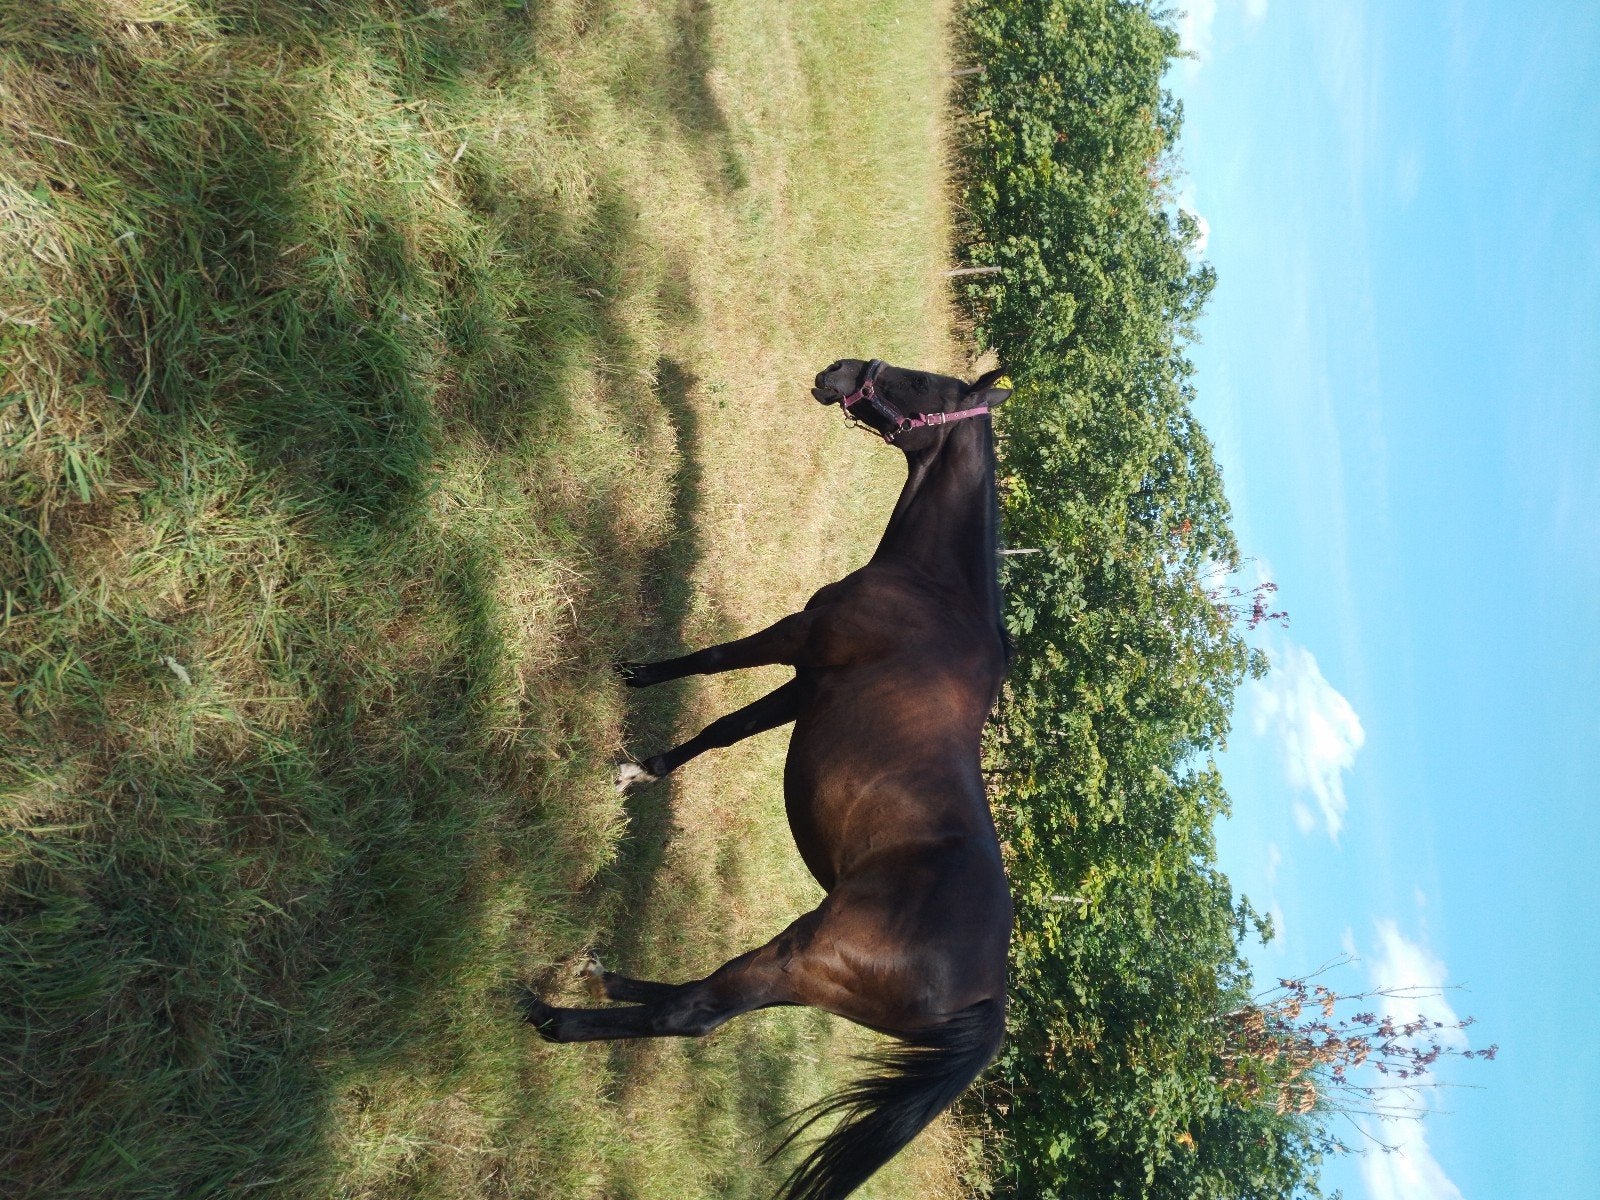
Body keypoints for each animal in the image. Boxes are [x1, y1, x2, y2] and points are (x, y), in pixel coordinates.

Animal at [520, 358, 1015, 1200]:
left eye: (922, 381)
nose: (839, 371)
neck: (936, 596)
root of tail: (991, 993)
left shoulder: (798, 638)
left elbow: (716, 657)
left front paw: (638, 676)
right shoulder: (804, 686)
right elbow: (721, 730)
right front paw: (638, 771)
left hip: (806, 958)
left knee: (693, 1014)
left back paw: (555, 1016)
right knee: (697, 1001)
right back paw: (599, 976)